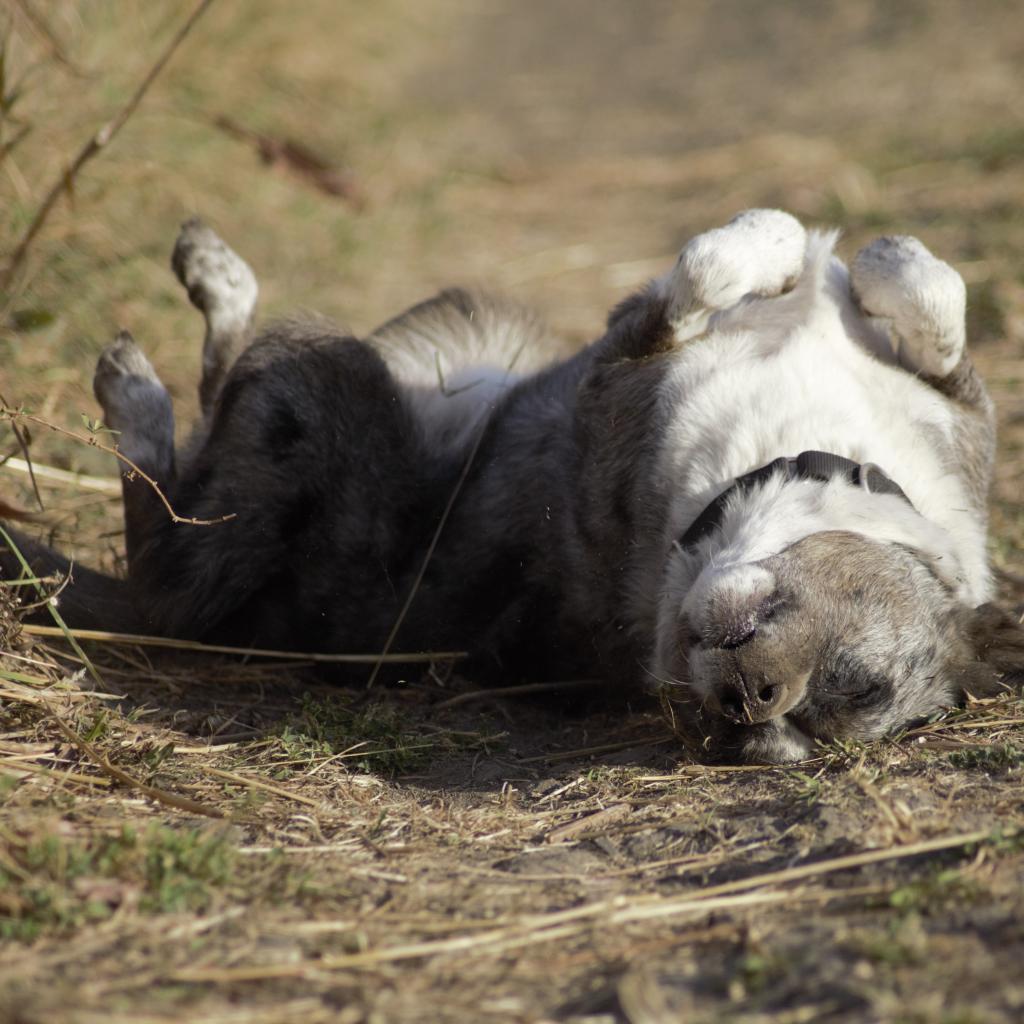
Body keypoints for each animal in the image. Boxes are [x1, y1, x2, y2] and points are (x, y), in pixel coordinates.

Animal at [2, 209, 1024, 761]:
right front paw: (851, 258)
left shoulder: (621, 365)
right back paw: (210, 274)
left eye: (754, 738)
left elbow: (698, 271)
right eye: (855, 673)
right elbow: (935, 301)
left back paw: (142, 369)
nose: (748, 700)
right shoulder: (957, 407)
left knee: (168, 526)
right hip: (474, 326)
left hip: (306, 389)